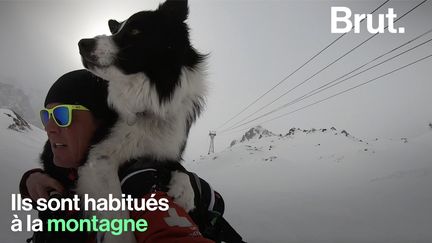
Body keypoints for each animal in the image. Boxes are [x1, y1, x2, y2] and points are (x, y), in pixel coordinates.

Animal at [77, 0, 206, 241]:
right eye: (116, 30)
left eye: (135, 31)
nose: (82, 43)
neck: (150, 103)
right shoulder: (98, 156)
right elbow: (117, 208)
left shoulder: (165, 149)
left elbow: (181, 168)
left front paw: (185, 192)